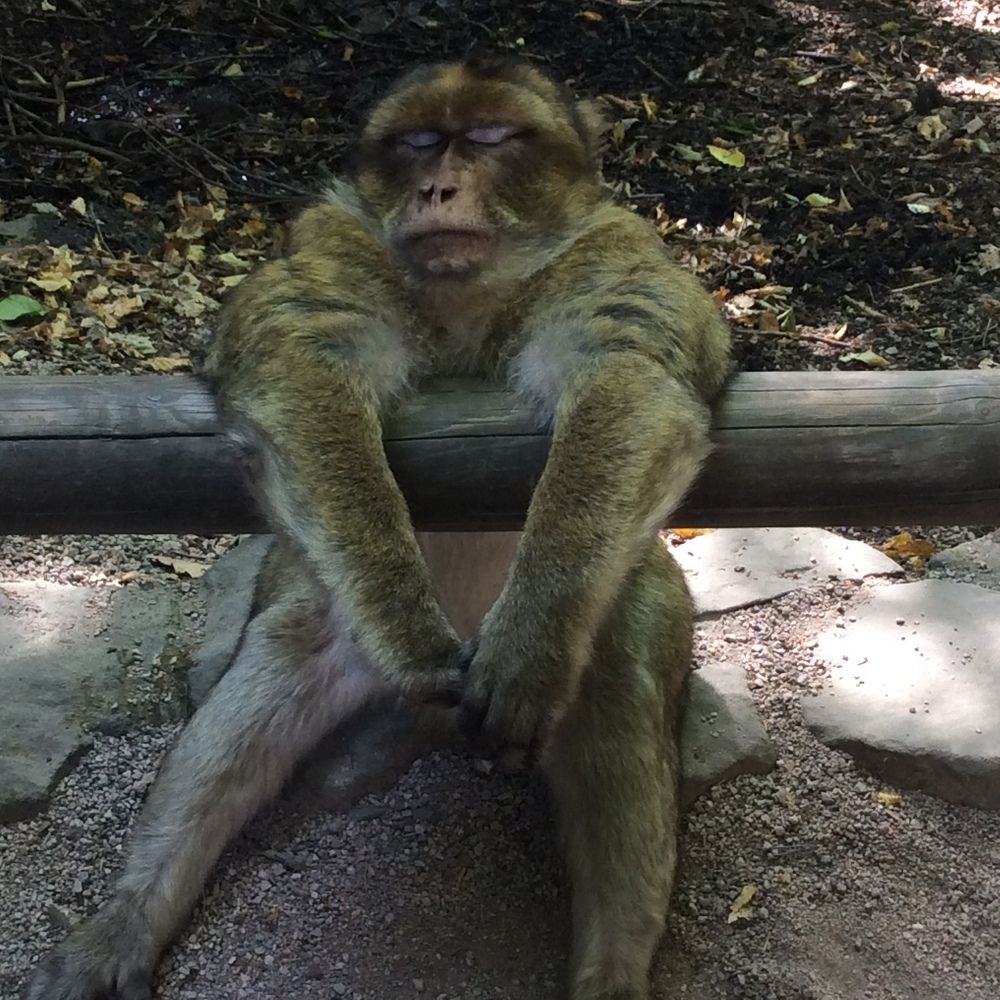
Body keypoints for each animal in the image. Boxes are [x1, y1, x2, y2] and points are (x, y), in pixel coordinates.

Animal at [24, 57, 730, 1000]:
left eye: (491, 137)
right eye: (419, 142)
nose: (437, 187)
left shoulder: (612, 253)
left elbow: (633, 368)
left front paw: (531, 645)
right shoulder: (337, 245)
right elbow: (303, 361)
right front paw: (408, 630)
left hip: (638, 607)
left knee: (624, 700)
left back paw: (612, 969)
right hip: (321, 620)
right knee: (252, 694)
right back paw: (124, 923)